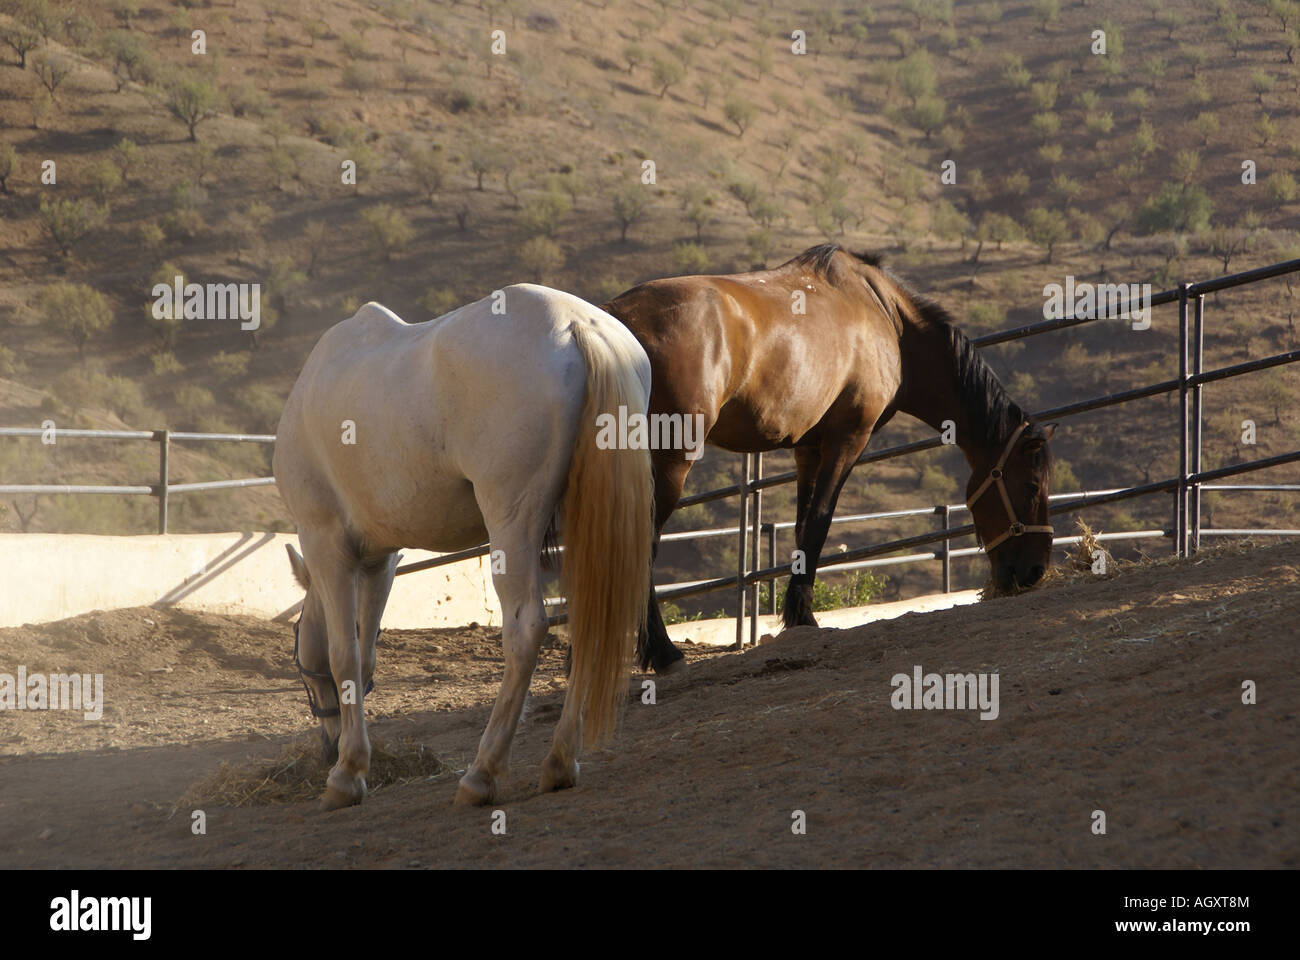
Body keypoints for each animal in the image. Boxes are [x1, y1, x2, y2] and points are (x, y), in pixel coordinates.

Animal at [278, 283, 655, 806]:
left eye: (297, 660)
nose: (326, 745)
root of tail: (577, 325)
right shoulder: (379, 561)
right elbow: (366, 651)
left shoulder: (327, 544)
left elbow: (344, 655)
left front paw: (347, 775)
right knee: (590, 623)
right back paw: (559, 763)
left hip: (512, 523)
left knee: (526, 628)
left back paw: (482, 774)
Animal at [603, 243, 1060, 671]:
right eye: (1031, 486)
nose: (1035, 571)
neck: (887, 318)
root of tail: (611, 319)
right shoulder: (847, 439)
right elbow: (820, 522)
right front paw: (805, 617)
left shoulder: (808, 448)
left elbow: (803, 527)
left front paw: (795, 614)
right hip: (671, 460)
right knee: (642, 542)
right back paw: (663, 653)